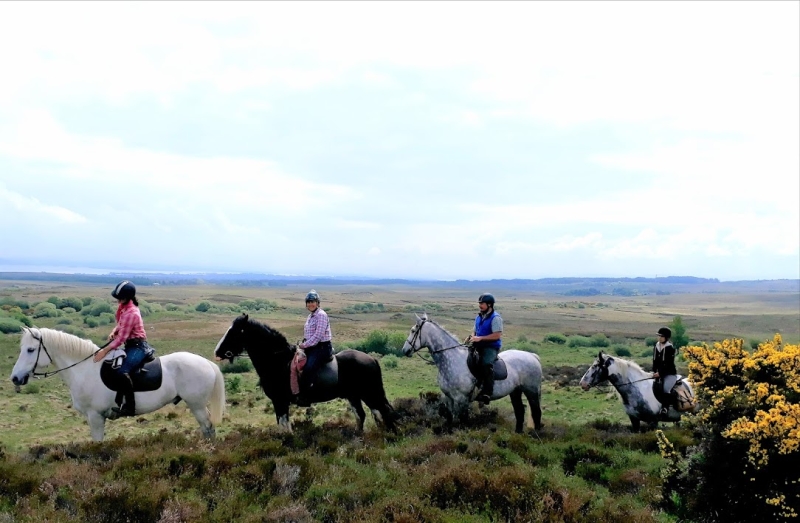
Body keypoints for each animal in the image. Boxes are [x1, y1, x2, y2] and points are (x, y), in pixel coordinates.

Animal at [10, 328, 225, 442]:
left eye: (30, 350)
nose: (15, 378)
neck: (85, 369)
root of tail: (207, 363)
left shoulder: (95, 417)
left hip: (196, 404)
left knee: (207, 427)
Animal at [214, 316, 396, 434]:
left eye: (234, 332)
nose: (217, 352)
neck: (279, 361)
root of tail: (371, 358)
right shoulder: (280, 402)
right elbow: (283, 424)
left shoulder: (280, 401)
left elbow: (284, 426)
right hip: (354, 395)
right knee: (365, 414)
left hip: (369, 393)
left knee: (382, 411)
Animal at [400, 316, 544, 434]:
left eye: (413, 331)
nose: (404, 350)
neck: (452, 360)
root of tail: (532, 356)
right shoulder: (448, 398)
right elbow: (450, 419)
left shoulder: (461, 399)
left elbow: (462, 420)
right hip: (515, 391)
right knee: (519, 410)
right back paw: (518, 433)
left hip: (531, 391)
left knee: (536, 411)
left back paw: (536, 435)